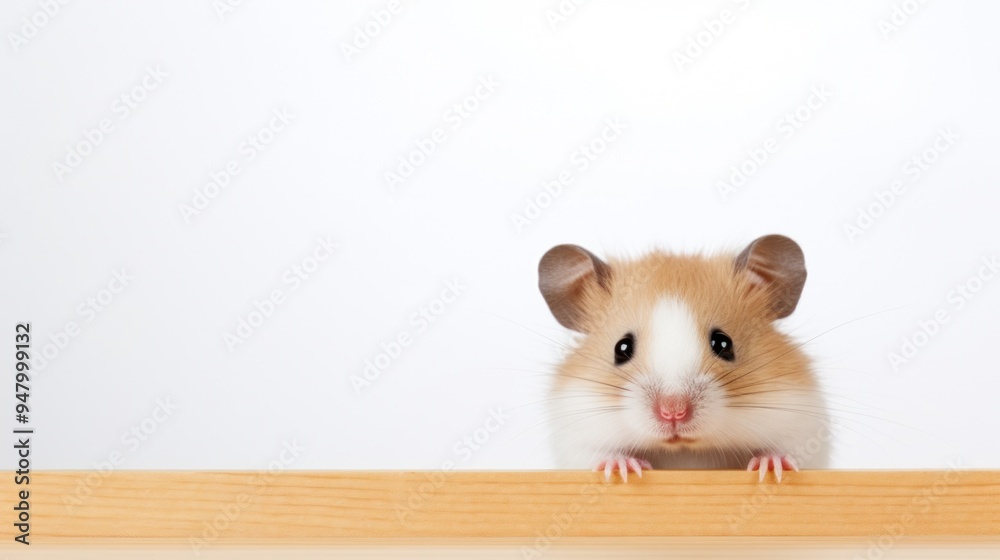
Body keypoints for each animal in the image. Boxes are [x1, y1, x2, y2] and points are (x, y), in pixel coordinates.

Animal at [537, 235, 829, 483]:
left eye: (723, 343)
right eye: (622, 348)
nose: (673, 412)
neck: (685, 451)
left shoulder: (802, 424)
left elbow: (786, 450)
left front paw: (771, 466)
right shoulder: (575, 436)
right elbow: (598, 455)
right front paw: (623, 468)